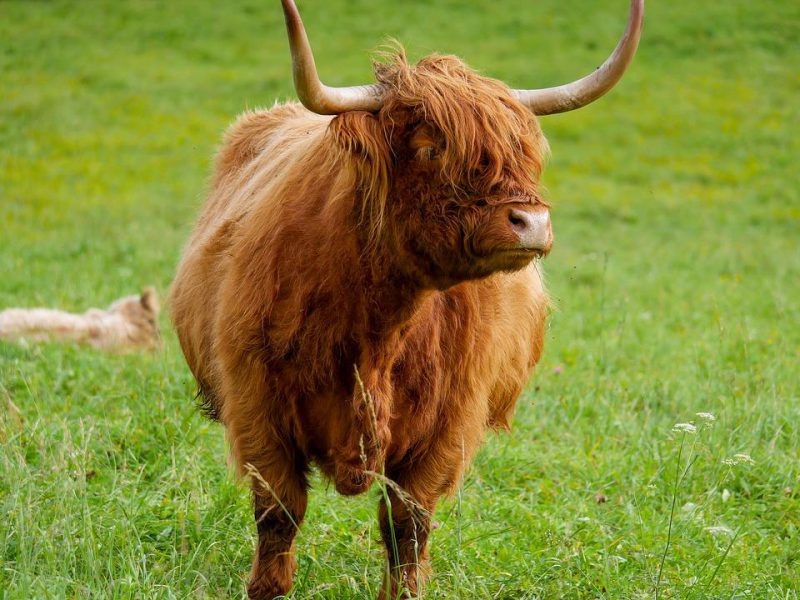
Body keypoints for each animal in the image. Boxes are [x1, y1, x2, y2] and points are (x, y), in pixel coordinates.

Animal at [169, 2, 644, 596]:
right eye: (429, 146)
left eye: (524, 151)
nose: (531, 222)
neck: (377, 326)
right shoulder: (257, 407)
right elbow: (279, 514)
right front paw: (266, 588)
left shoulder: (448, 425)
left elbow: (408, 525)